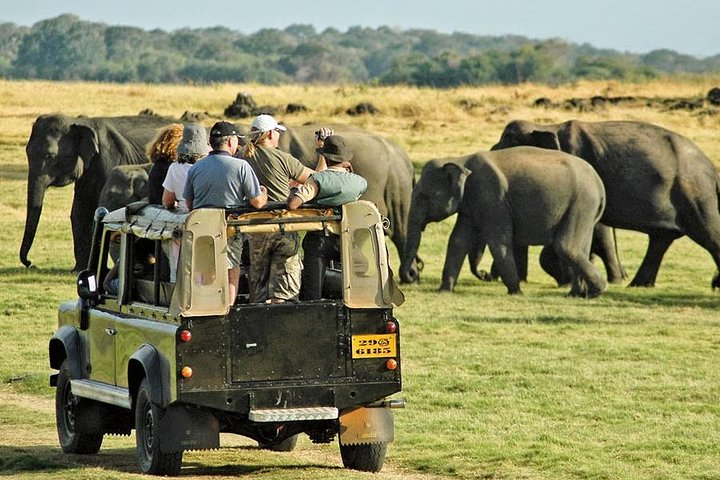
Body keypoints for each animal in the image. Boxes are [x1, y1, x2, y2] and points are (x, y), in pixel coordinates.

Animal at [20, 112, 176, 270]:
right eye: (27, 152)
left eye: (50, 156)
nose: (30, 263)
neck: (81, 122)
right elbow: (79, 211)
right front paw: (80, 269)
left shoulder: (110, 158)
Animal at [400, 145, 608, 296]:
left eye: (423, 196)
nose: (413, 274)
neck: (461, 160)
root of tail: (599, 184)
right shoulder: (470, 205)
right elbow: (457, 241)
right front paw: (444, 291)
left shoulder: (492, 198)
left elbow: (498, 242)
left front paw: (516, 292)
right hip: (586, 210)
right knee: (582, 247)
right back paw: (577, 294)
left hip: (581, 203)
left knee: (566, 246)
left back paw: (599, 289)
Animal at [492, 120, 720, 288]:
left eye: (505, 145)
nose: (488, 276)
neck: (548, 126)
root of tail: (711, 167)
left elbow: (596, 229)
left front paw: (567, 279)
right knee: (661, 239)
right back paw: (637, 284)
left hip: (695, 193)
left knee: (708, 233)